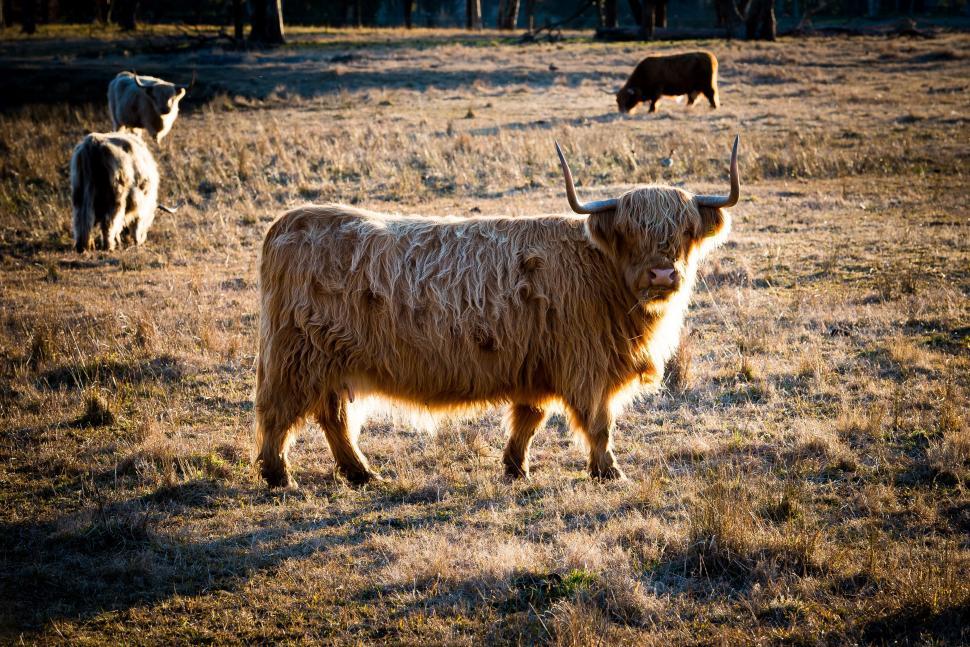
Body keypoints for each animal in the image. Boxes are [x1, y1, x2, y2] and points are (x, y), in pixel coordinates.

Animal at [253, 136, 740, 488]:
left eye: (686, 230)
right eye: (629, 231)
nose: (662, 273)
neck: (600, 272)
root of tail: (289, 222)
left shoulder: (539, 365)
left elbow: (530, 418)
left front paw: (514, 466)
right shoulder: (585, 366)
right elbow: (599, 423)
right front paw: (609, 471)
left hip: (329, 361)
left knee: (332, 416)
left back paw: (360, 473)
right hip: (296, 357)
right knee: (279, 413)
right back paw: (280, 477)